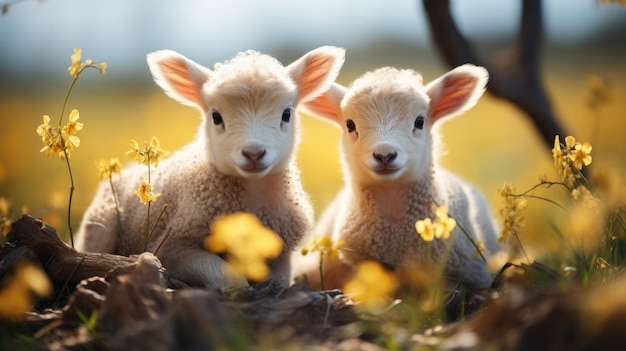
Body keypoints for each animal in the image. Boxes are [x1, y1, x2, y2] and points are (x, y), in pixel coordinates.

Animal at [76, 46, 346, 292]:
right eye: (216, 116)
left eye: (286, 114)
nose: (254, 153)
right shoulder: (172, 247)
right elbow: (231, 279)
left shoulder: (281, 256)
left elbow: (278, 281)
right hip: (101, 225)